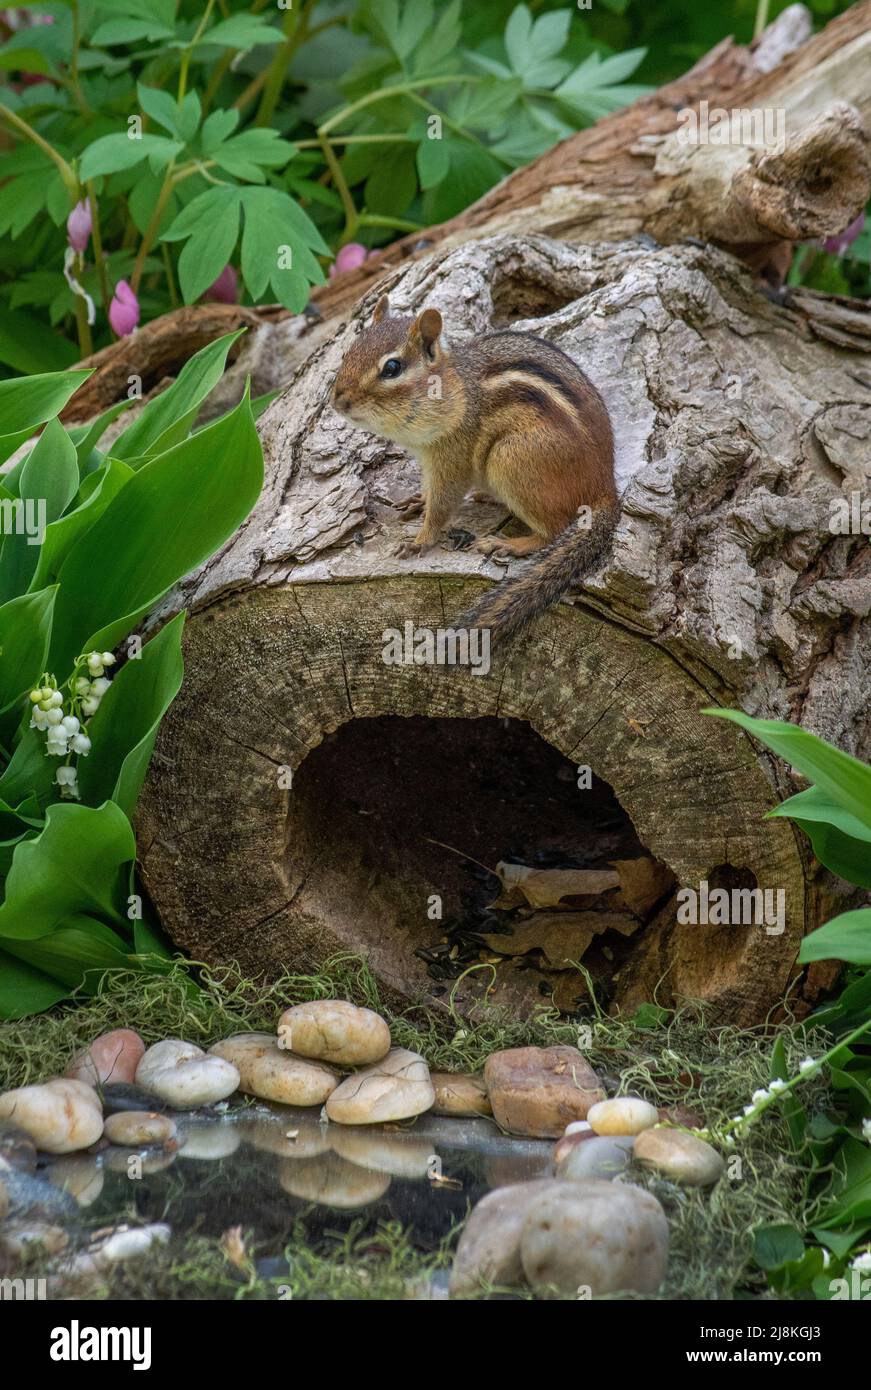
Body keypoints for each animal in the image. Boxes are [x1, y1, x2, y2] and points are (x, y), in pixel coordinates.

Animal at [332, 294, 618, 645]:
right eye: (349, 351)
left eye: (392, 368)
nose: (337, 400)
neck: (450, 390)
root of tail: (605, 484)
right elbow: (430, 492)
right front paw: (419, 500)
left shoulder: (453, 456)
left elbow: (443, 505)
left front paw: (420, 540)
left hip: (510, 459)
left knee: (554, 529)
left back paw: (507, 544)